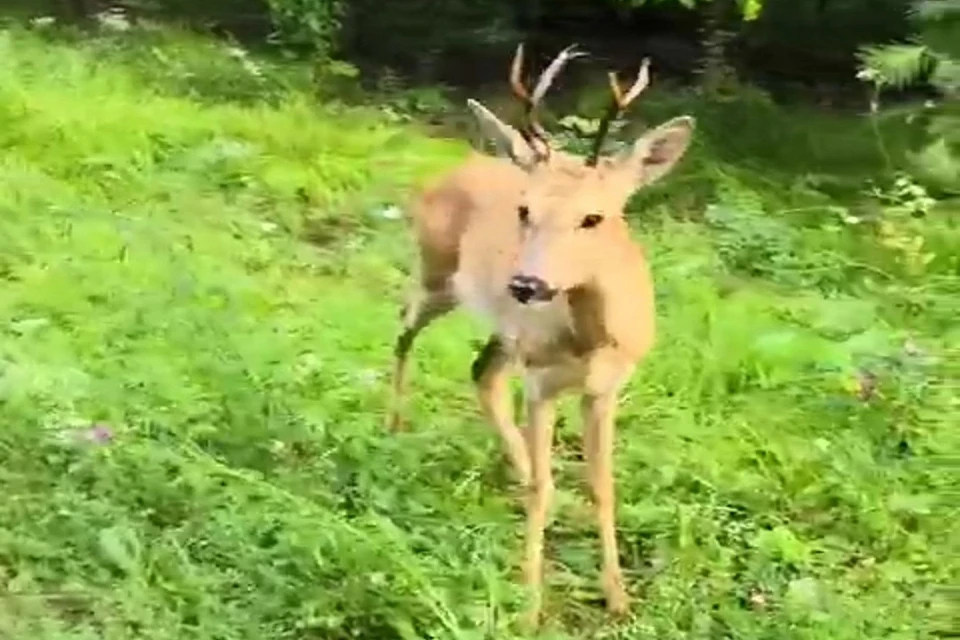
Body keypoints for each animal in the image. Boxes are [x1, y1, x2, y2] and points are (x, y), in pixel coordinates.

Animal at [386, 42, 692, 628]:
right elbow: (545, 486)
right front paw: (529, 605)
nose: (526, 283)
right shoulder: (541, 381)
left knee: (481, 373)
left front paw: (619, 597)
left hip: (506, 332)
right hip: (438, 276)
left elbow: (602, 484)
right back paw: (392, 427)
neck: (589, 341)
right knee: (404, 329)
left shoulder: (607, 387)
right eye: (525, 209)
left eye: (594, 217)